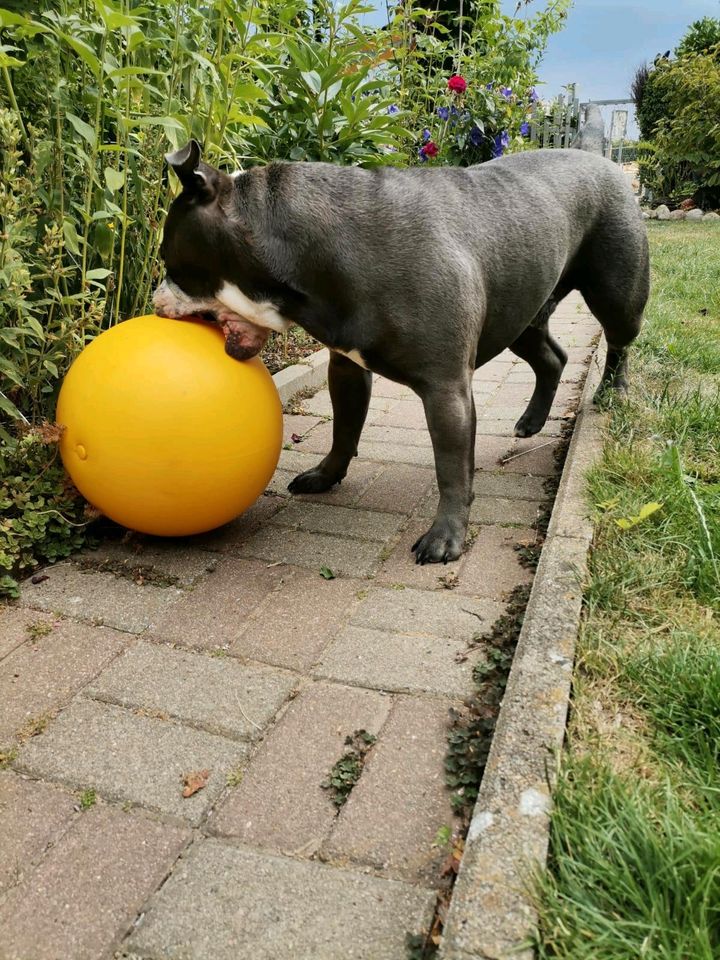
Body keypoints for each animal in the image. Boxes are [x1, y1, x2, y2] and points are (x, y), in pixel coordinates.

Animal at [152, 142, 648, 564]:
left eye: (170, 264)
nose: (156, 303)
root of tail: (603, 160)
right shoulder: (347, 367)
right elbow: (344, 429)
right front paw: (326, 475)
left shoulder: (447, 390)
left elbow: (450, 466)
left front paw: (446, 537)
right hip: (520, 317)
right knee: (552, 357)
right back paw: (531, 421)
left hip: (617, 295)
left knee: (618, 342)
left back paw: (613, 393)